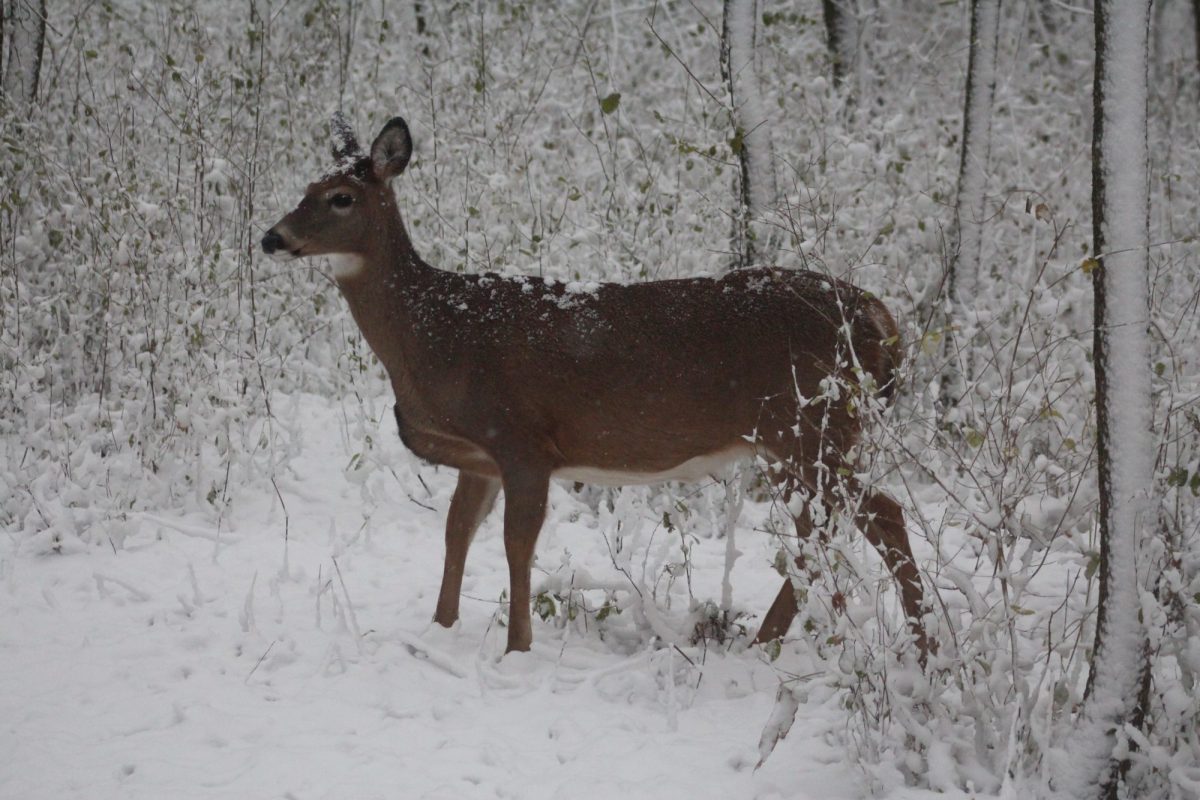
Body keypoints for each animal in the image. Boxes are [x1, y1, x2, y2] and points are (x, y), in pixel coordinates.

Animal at [262, 113, 929, 660]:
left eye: (341, 197)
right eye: (304, 189)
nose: (273, 237)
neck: (436, 334)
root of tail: (881, 322)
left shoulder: (523, 438)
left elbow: (515, 545)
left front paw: (517, 649)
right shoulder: (480, 457)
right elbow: (456, 535)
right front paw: (440, 630)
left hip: (811, 426)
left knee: (877, 514)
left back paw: (904, 647)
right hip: (797, 439)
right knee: (835, 524)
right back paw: (792, 641)